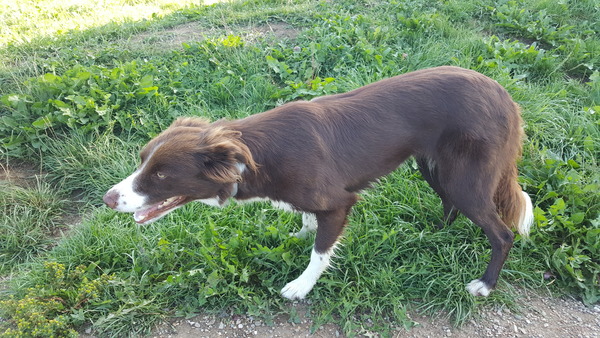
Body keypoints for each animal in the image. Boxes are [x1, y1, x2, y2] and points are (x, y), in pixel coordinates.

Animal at [103, 66, 536, 298]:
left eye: (161, 174)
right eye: (141, 161)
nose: (107, 199)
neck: (250, 157)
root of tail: (505, 96)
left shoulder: (339, 203)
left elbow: (320, 252)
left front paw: (301, 285)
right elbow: (307, 223)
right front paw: (301, 232)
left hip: (466, 177)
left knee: (501, 233)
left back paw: (485, 284)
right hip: (433, 166)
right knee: (449, 204)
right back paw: (430, 234)